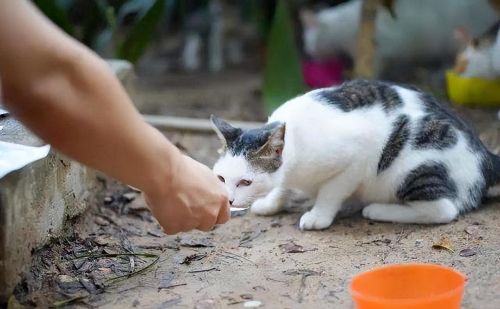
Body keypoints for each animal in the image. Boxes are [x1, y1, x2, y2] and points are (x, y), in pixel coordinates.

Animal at [209, 79, 500, 229]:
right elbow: (283, 186)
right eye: (221, 178)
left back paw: (378, 210)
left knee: (443, 209)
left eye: (245, 181)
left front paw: (318, 216)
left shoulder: (358, 156)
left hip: (410, 166)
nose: (230, 200)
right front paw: (272, 202)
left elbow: (331, 191)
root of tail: (485, 154)